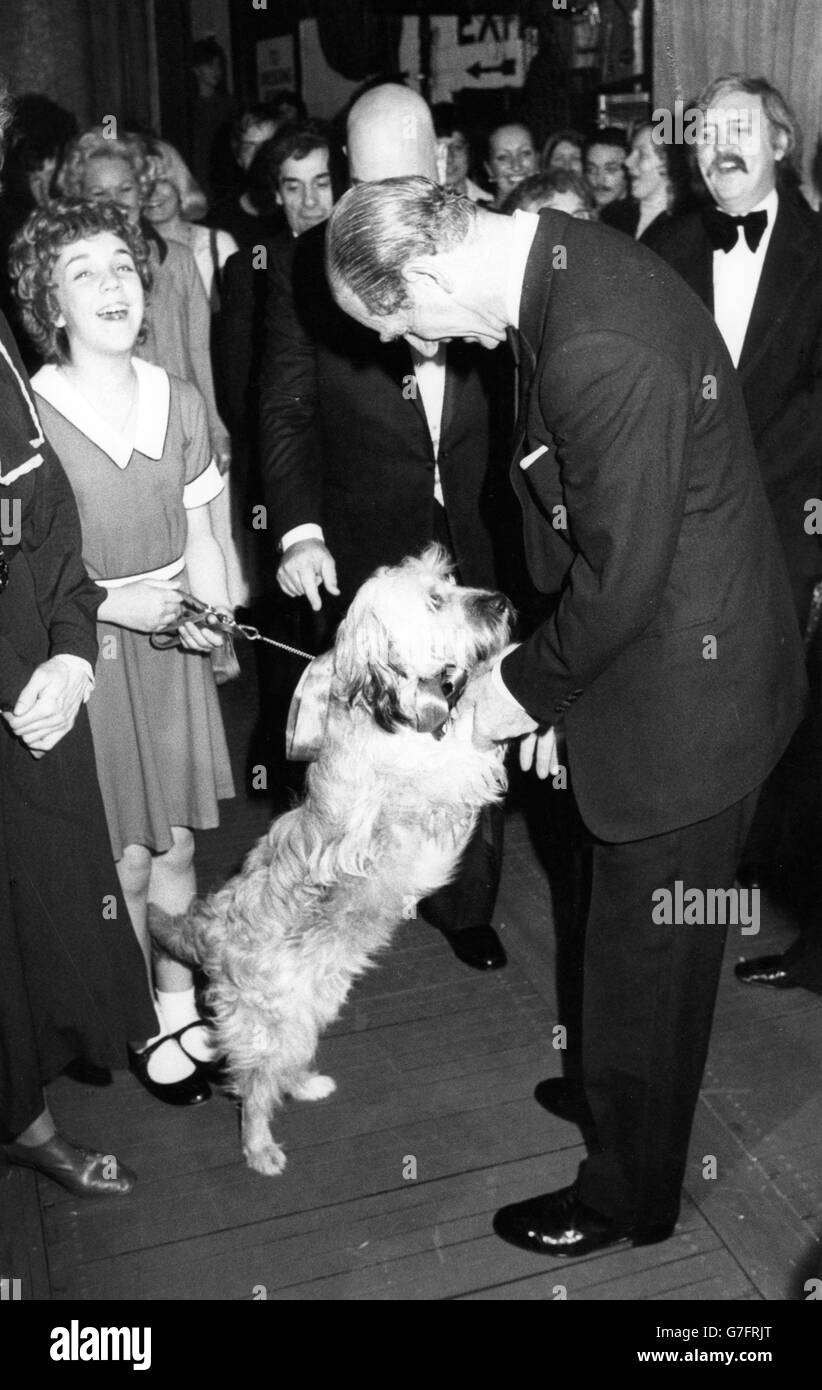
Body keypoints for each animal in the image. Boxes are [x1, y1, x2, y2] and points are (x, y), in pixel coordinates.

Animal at [147, 544, 509, 1173]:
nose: (505, 603)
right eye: (435, 600)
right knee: (253, 1087)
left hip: (308, 1010)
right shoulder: (425, 780)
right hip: (273, 1024)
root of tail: (209, 932)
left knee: (280, 1070)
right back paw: (259, 1147)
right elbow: (464, 750)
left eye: (452, 581)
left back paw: (307, 1085)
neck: (392, 710)